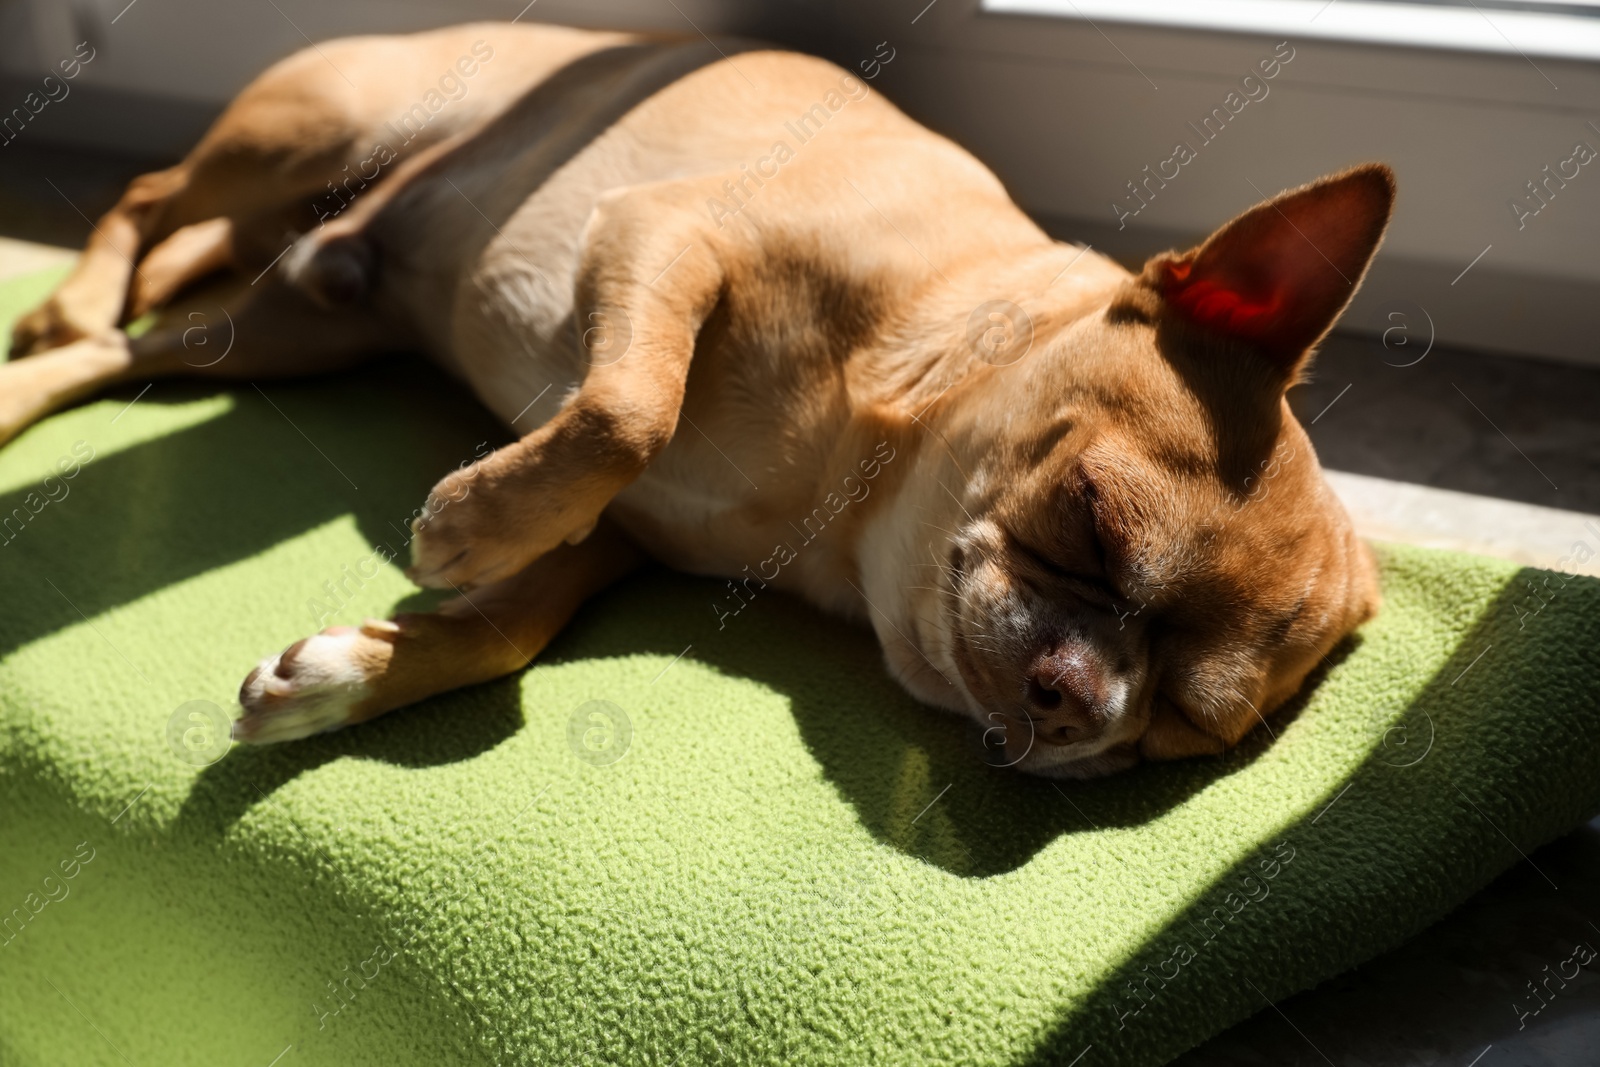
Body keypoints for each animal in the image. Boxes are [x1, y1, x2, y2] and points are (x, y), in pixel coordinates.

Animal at [3, 20, 1388, 780]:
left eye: (1175, 731)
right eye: (1089, 519)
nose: (1079, 697)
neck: (842, 494)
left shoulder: (621, 540)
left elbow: (511, 626)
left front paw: (362, 667)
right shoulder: (664, 232)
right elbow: (629, 410)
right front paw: (474, 522)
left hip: (279, 335)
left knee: (118, 355)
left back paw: (36, 371)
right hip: (308, 129)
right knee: (148, 195)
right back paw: (74, 295)